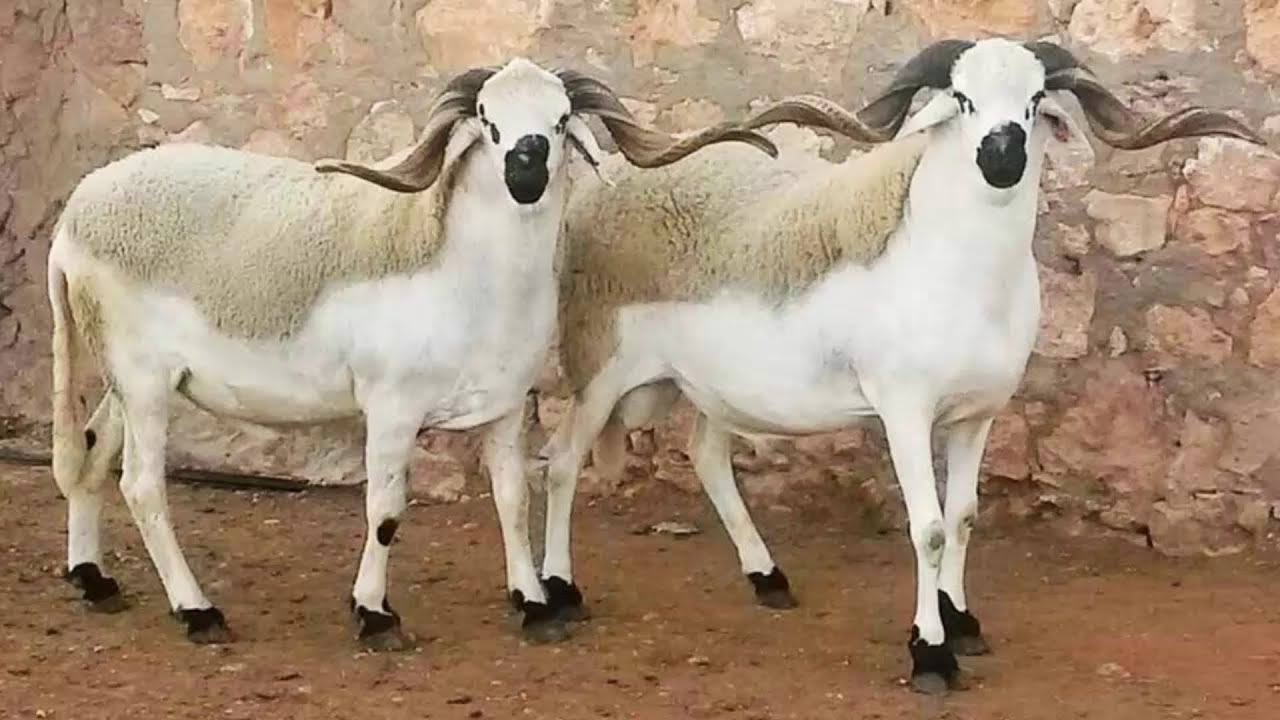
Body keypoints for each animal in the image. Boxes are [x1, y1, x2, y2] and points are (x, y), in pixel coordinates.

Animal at [47, 57, 777, 649]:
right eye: (487, 120)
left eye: (563, 118)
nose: (526, 171)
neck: (462, 273)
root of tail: (76, 214)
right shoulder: (391, 407)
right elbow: (387, 511)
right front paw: (374, 615)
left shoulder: (504, 406)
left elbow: (513, 498)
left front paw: (534, 603)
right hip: (144, 378)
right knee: (142, 486)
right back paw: (197, 611)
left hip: (126, 377)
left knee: (92, 452)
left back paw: (93, 578)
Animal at [536, 38, 1263, 692]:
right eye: (963, 98)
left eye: (1033, 100)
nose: (1002, 155)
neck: (957, 273)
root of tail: (612, 187)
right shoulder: (905, 412)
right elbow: (930, 529)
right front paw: (930, 653)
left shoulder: (977, 415)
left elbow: (965, 515)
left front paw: (961, 620)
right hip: (600, 369)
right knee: (564, 461)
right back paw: (559, 592)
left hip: (720, 387)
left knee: (707, 456)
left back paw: (767, 577)